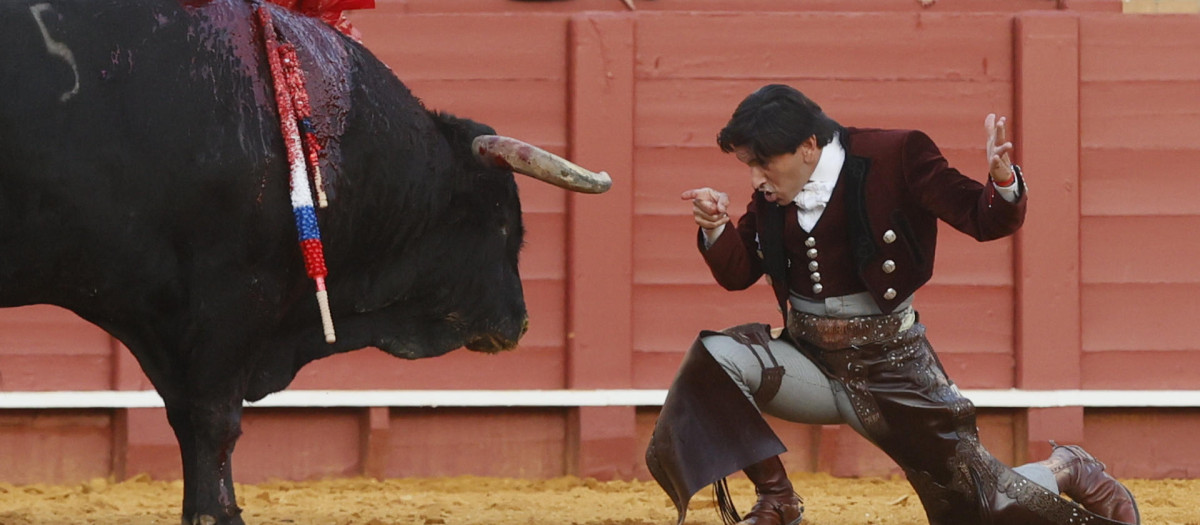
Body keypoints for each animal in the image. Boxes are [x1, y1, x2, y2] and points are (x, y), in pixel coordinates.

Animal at [0, 0, 604, 522]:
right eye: (503, 223)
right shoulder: (236, 296)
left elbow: (185, 416)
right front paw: (219, 515)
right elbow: (214, 419)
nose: (520, 321)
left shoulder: (168, 325)